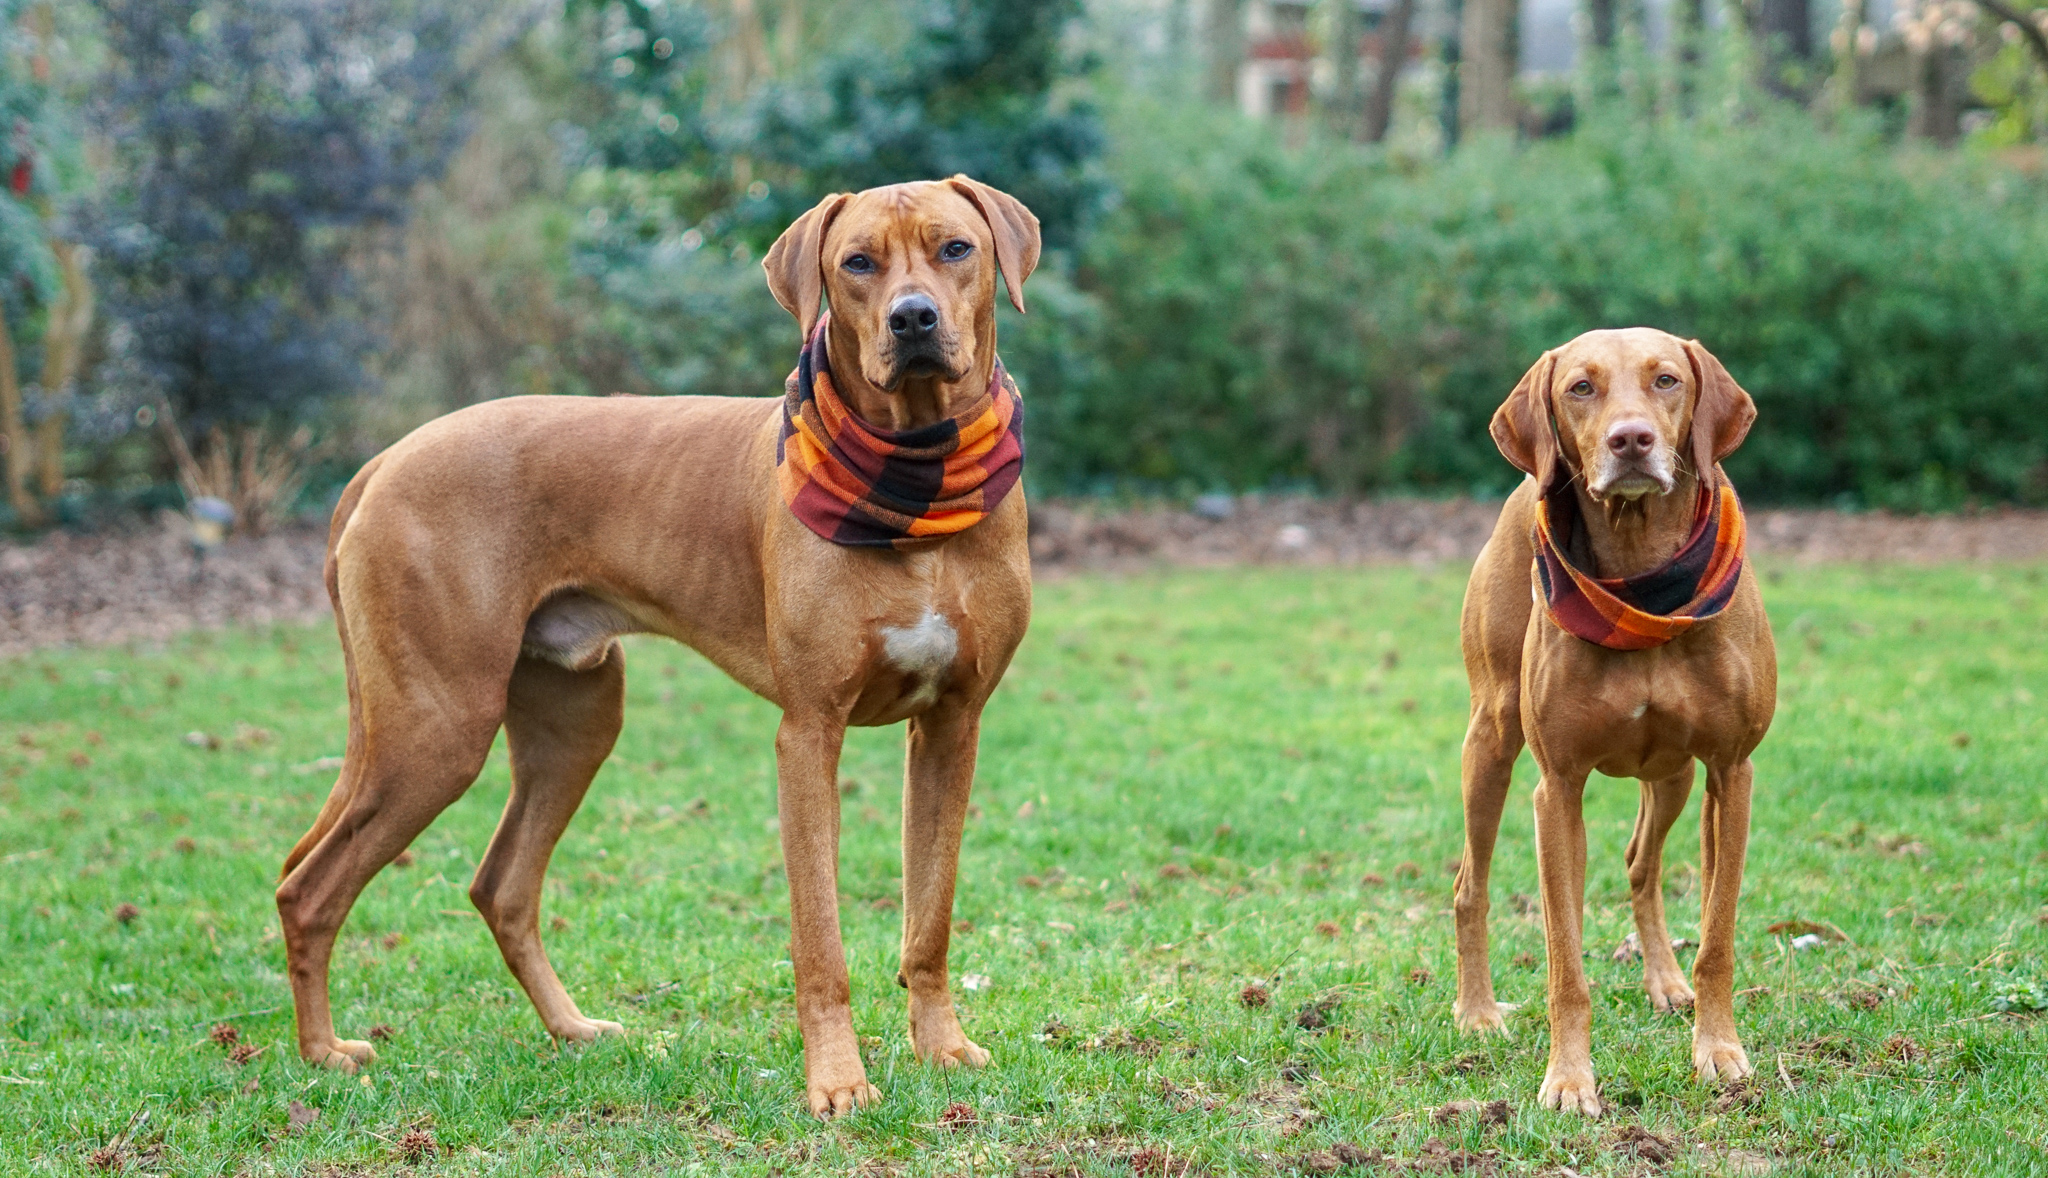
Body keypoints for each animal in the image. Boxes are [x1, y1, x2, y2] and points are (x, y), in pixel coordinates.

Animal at [274, 180, 1040, 1122]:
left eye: (956, 249)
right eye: (857, 263)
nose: (913, 319)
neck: (915, 478)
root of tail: (384, 460)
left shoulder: (952, 727)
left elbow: (929, 916)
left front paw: (941, 1049)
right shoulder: (808, 735)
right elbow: (819, 941)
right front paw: (836, 1082)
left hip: (574, 722)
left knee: (500, 886)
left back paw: (571, 1030)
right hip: (435, 730)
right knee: (310, 890)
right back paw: (322, 1055)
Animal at [1458, 329, 1777, 1114]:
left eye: (1666, 380)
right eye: (1581, 387)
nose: (1630, 440)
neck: (1643, 576)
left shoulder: (1732, 772)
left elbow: (1717, 936)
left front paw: (1719, 1052)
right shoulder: (1558, 788)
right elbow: (1564, 963)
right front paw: (1569, 1080)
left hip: (1674, 775)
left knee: (1642, 862)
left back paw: (1665, 980)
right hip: (1491, 743)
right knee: (1471, 885)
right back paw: (1476, 1012)